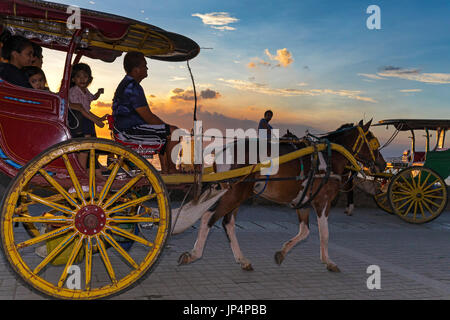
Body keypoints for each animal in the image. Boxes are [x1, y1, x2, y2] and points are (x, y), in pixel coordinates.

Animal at [178, 120, 384, 272]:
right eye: (374, 143)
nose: (381, 165)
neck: (329, 157)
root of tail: (223, 150)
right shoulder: (322, 202)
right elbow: (324, 234)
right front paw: (328, 261)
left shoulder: (303, 203)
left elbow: (305, 232)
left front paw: (282, 253)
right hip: (233, 193)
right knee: (209, 217)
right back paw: (194, 254)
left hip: (237, 194)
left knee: (227, 223)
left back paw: (242, 259)